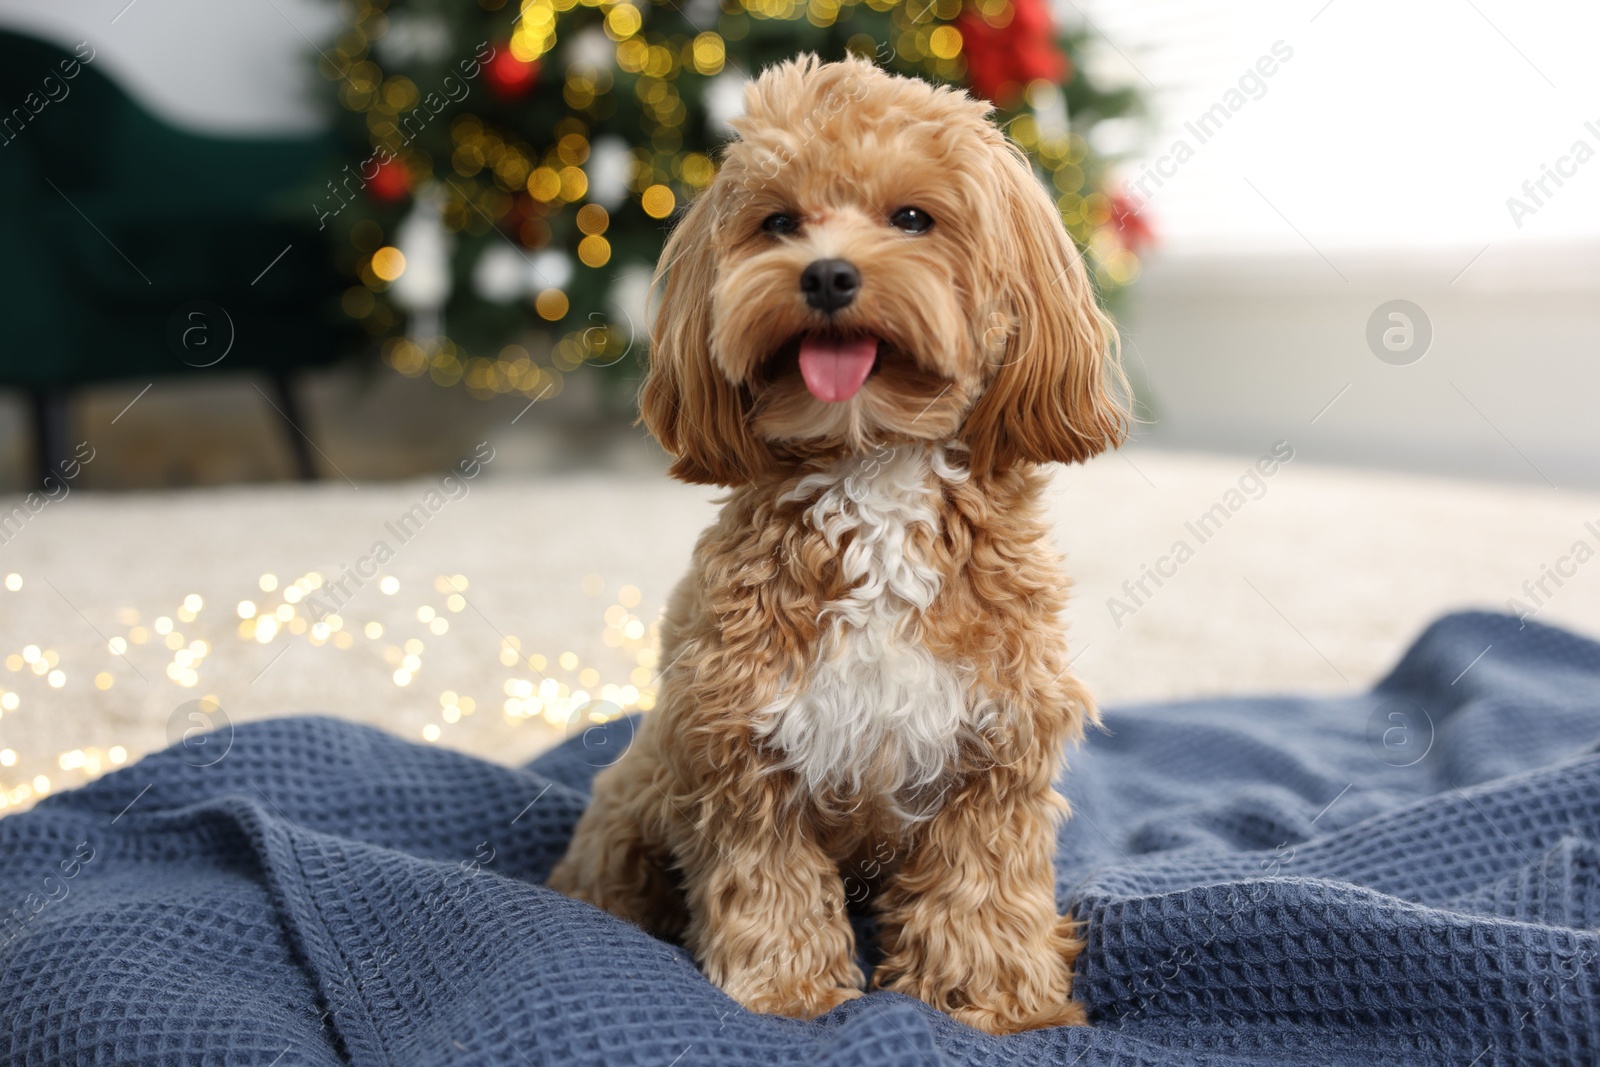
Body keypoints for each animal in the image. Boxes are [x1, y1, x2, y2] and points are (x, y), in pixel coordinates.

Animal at [550, 51, 1126, 1036]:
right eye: (779, 222)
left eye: (913, 218)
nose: (824, 275)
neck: (873, 467)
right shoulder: (740, 748)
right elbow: (770, 882)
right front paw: (789, 993)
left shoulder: (995, 752)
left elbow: (980, 890)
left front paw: (993, 1000)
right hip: (634, 797)